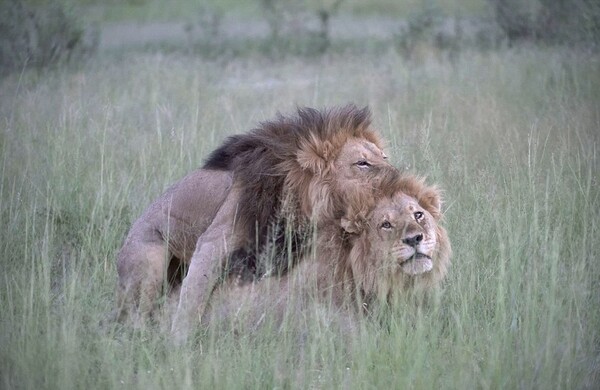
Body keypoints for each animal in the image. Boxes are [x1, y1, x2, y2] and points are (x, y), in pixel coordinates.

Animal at [115, 105, 396, 340]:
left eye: (385, 157)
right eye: (362, 163)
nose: (397, 175)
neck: (300, 192)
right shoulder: (215, 240)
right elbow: (193, 295)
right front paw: (179, 342)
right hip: (149, 262)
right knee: (136, 311)